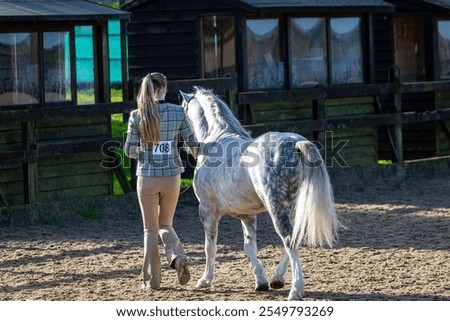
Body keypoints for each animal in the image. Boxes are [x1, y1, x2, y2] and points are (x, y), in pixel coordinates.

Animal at [179, 87, 338, 300]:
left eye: (182, 113)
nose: (188, 148)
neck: (216, 141)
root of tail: (296, 144)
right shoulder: (247, 215)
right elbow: (249, 247)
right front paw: (261, 281)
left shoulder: (207, 211)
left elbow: (210, 247)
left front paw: (205, 280)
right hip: (293, 207)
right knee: (295, 237)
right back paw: (277, 279)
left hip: (276, 208)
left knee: (289, 240)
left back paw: (296, 289)